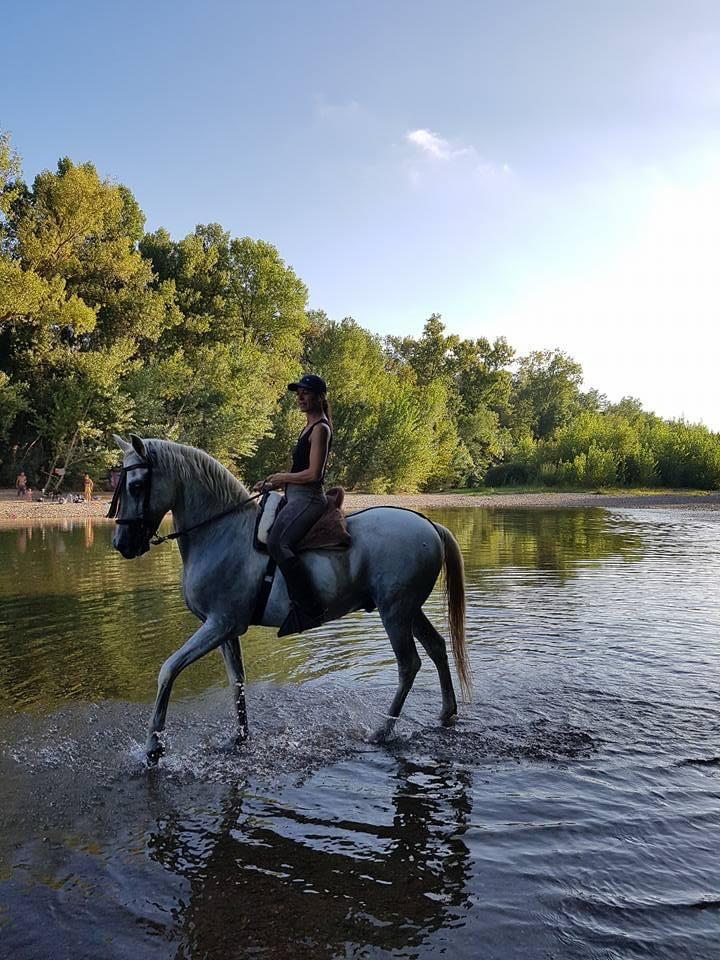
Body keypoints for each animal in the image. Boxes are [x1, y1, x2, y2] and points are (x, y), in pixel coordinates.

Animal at [110, 435, 471, 762]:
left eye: (137, 486)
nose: (121, 543)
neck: (222, 532)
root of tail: (428, 524)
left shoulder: (219, 624)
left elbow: (168, 669)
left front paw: (154, 747)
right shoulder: (226, 630)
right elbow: (237, 682)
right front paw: (240, 738)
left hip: (394, 612)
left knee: (409, 664)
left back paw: (382, 732)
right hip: (409, 609)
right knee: (437, 647)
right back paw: (446, 713)